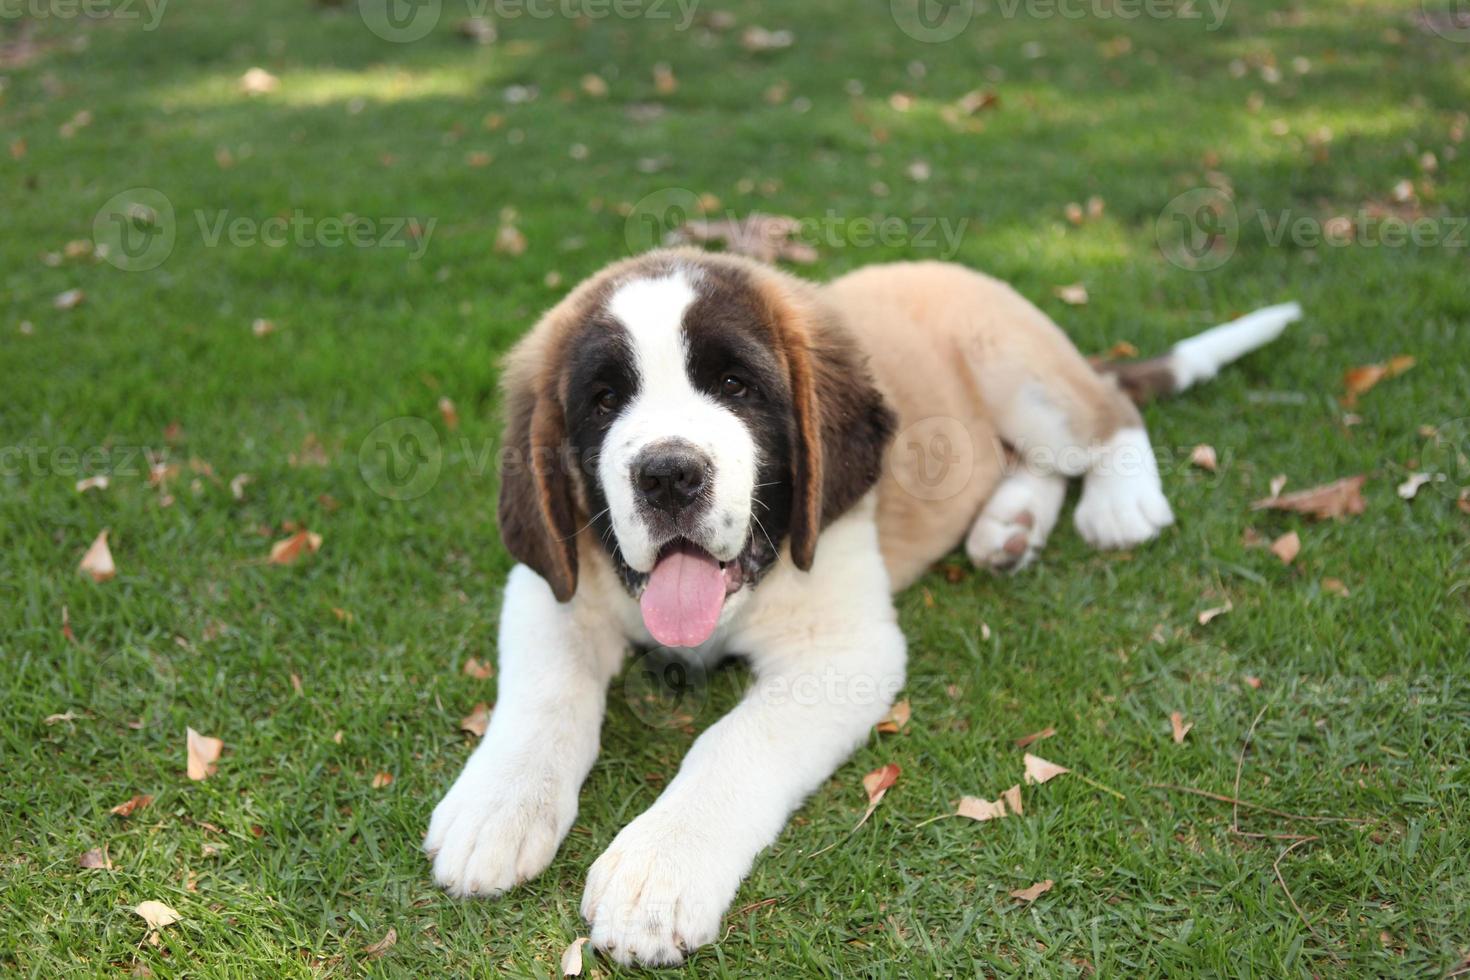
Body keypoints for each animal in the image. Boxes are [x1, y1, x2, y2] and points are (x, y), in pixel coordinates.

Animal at [426, 245, 1299, 963]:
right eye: (604, 400)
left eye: (736, 386)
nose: (668, 475)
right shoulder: (552, 583)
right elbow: (547, 695)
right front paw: (496, 807)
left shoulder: (845, 650)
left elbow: (730, 743)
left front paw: (658, 870)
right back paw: (1009, 526)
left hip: (1020, 373)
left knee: (1109, 415)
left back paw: (1119, 504)